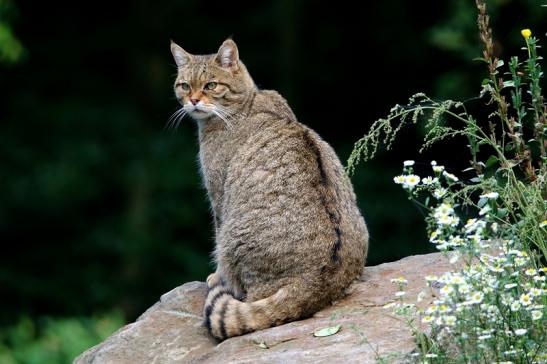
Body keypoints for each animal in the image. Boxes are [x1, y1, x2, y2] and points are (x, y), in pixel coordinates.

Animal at [169, 38, 370, 340]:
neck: (248, 101)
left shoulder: (218, 197)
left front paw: (217, 276)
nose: (193, 100)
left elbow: (217, 239)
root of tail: (317, 284)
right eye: (184, 85)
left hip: (232, 239)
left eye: (210, 85)